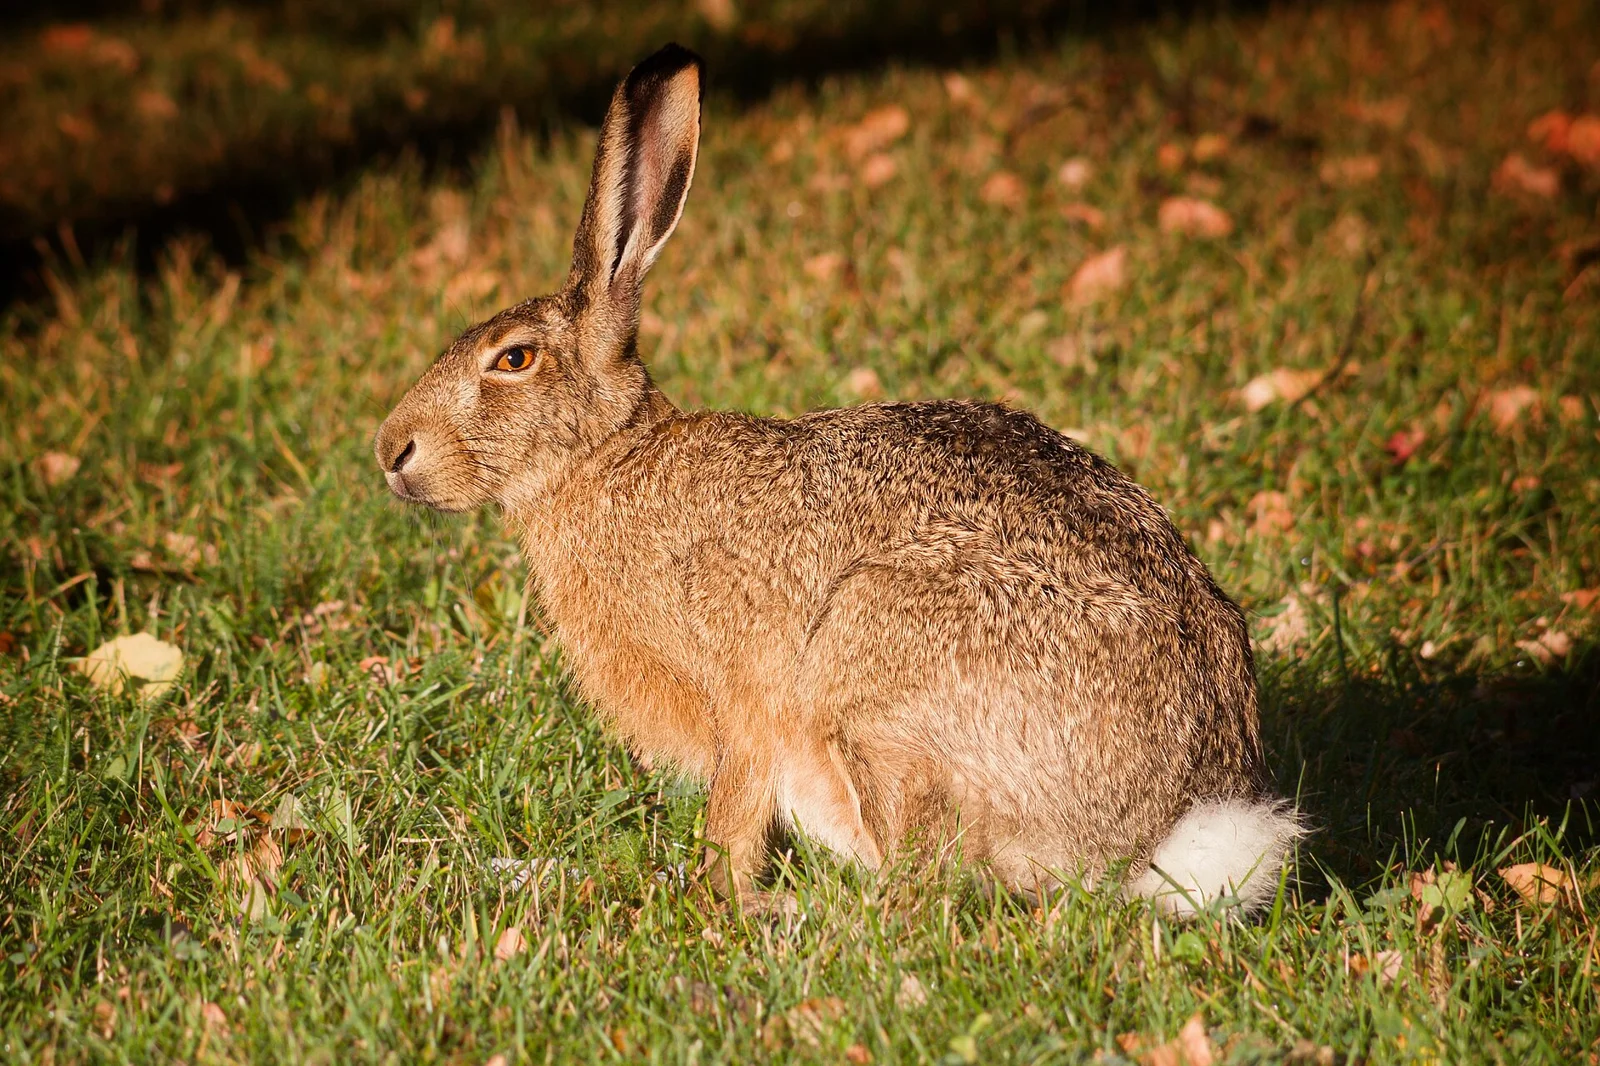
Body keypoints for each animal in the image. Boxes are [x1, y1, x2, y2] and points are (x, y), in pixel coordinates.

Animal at [374, 43, 1302, 915]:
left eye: (513, 360)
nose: (392, 451)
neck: (604, 456)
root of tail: (1163, 833)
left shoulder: (744, 695)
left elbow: (734, 814)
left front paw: (719, 896)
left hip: (873, 672)